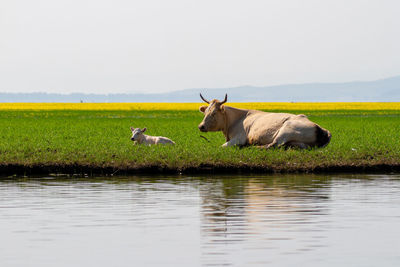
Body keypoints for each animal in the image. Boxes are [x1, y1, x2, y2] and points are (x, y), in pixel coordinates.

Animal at [197, 93, 332, 149]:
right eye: (205, 112)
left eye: (214, 113)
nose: (201, 126)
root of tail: (323, 130)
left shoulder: (239, 138)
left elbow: (221, 147)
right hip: (299, 143)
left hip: (285, 130)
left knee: (272, 145)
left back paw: (252, 147)